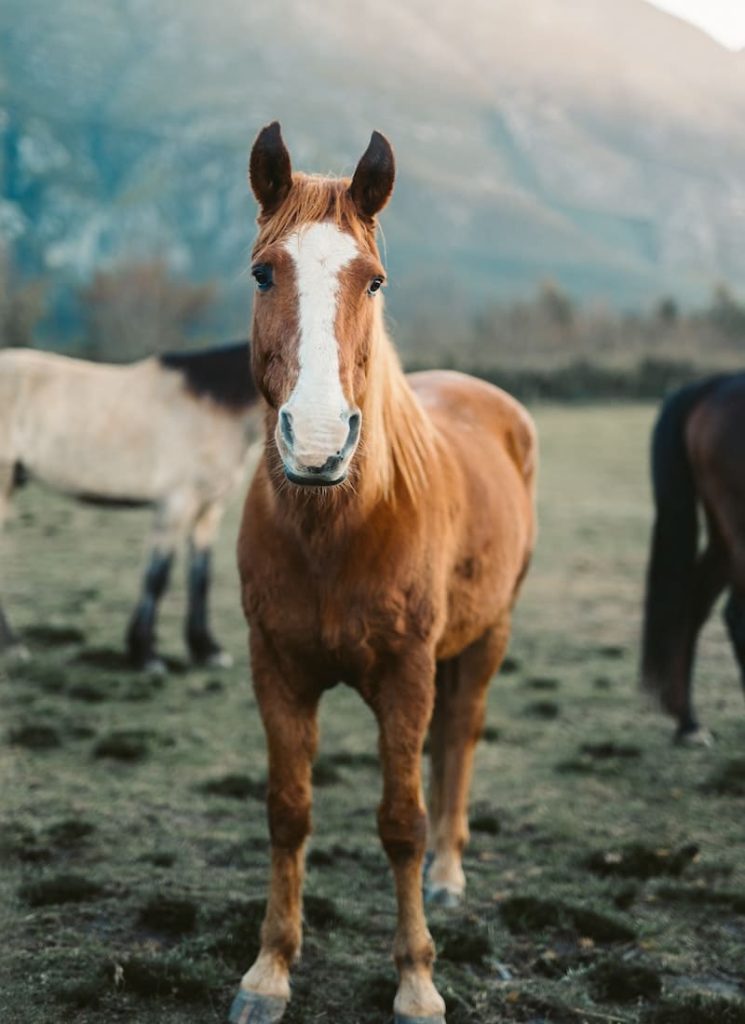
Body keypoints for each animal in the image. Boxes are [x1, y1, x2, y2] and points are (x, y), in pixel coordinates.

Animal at [0, 339, 258, 667]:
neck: (215, 406)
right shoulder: (175, 504)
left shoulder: (208, 510)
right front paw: (145, 653)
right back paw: (11, 646)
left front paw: (206, 649)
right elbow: (157, 576)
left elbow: (200, 577)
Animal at [231, 121, 536, 1024]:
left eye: (373, 280)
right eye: (264, 271)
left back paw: (447, 874)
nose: (317, 442)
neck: (334, 530)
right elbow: (288, 812)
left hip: (484, 638)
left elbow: (401, 820)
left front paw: (416, 980)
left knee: (458, 739)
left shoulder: (405, 672)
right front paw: (269, 970)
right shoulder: (277, 670)